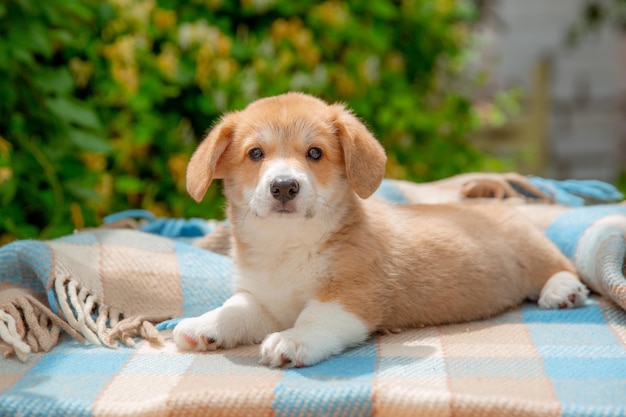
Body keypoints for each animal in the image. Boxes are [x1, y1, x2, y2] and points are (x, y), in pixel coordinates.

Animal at [171, 92, 584, 368]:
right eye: (255, 154)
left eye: (315, 153)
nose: (285, 187)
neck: (288, 246)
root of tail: (500, 205)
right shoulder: (262, 303)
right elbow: (233, 310)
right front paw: (204, 325)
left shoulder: (351, 297)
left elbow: (314, 319)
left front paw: (293, 341)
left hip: (534, 251)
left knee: (560, 267)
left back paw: (562, 291)